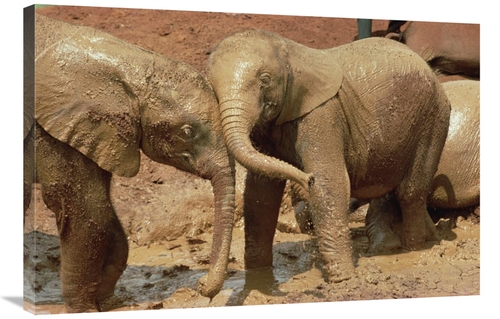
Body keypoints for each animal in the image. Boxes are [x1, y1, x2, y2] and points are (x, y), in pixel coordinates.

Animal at [26, 11, 237, 312]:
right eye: (187, 132)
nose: (202, 288)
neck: (134, 63)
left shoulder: (97, 133)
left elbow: (104, 211)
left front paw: (109, 302)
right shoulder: (49, 129)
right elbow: (88, 211)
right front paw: (85, 310)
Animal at [205, 28, 452, 284]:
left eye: (265, 80)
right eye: (211, 88)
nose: (306, 178)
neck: (291, 52)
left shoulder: (322, 113)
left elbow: (329, 183)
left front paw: (344, 280)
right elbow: (261, 193)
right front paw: (258, 276)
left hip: (434, 118)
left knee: (410, 192)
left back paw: (413, 249)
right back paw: (419, 241)